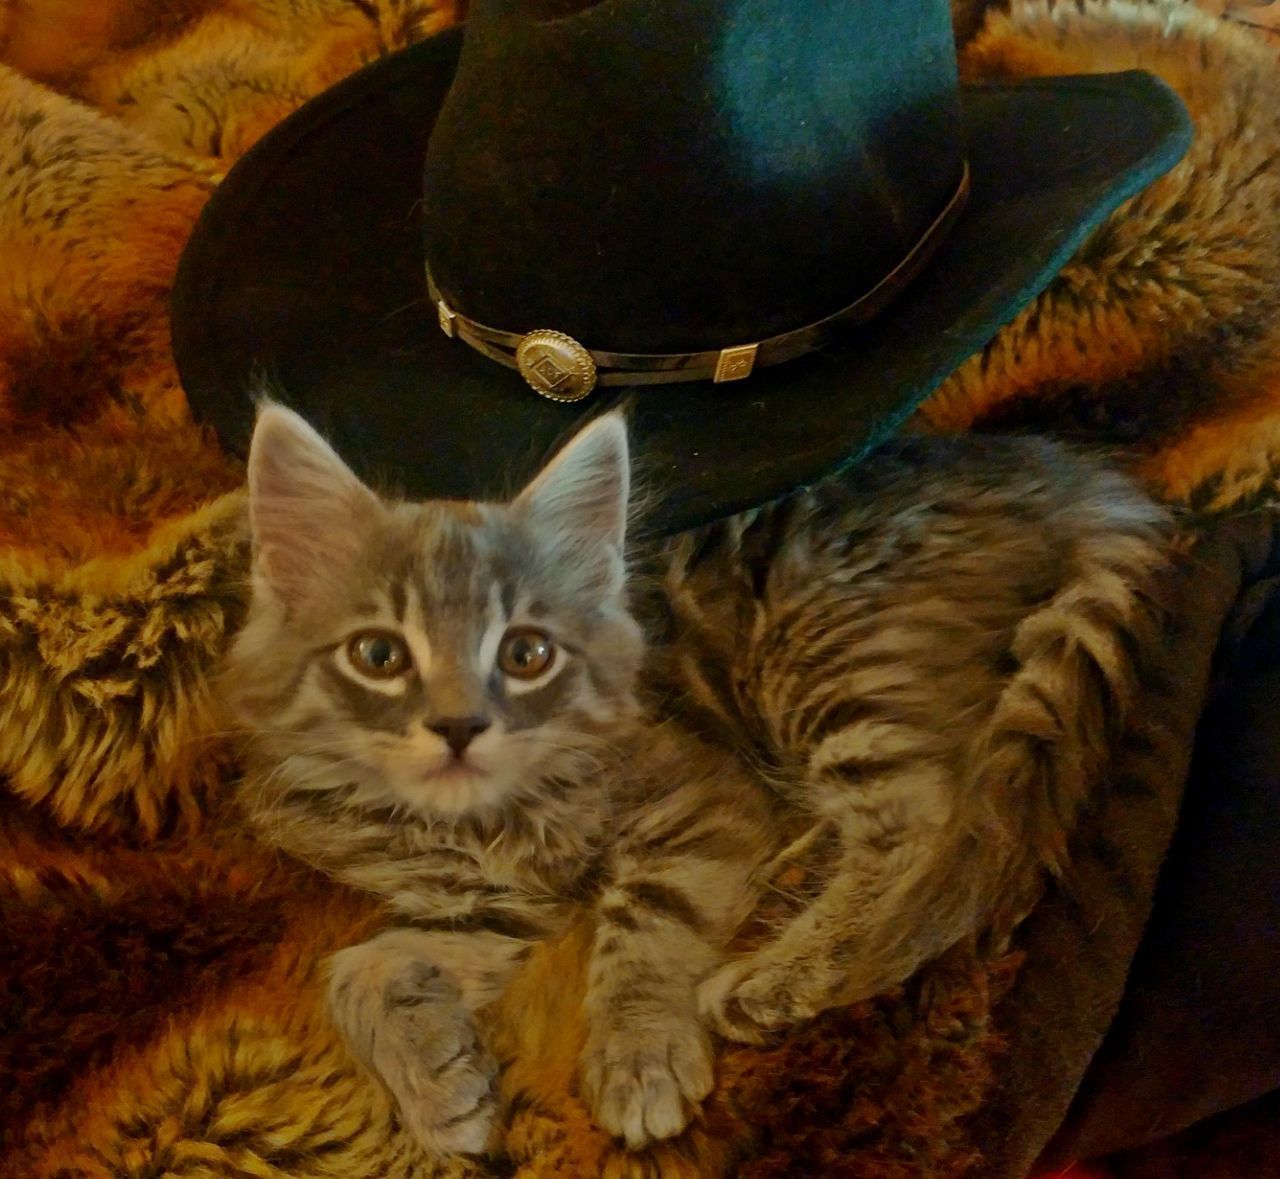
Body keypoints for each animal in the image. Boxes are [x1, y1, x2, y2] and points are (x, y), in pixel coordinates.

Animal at [227, 399, 1172, 1157]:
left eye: (526, 654)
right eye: (379, 655)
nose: (460, 727)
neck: (472, 818)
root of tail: (1067, 474)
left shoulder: (696, 799)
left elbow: (648, 920)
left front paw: (638, 1053)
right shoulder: (495, 903)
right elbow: (354, 969)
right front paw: (439, 1088)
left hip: (826, 652)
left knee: (928, 821)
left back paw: (779, 973)